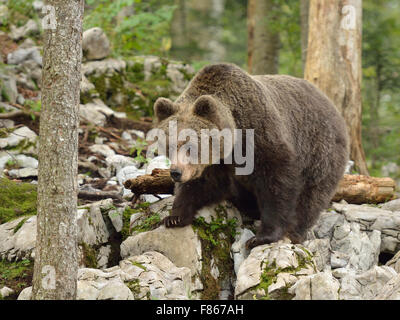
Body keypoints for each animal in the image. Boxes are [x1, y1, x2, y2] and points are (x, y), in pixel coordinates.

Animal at [152, 62, 348, 248]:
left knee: (311, 196)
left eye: (190, 146)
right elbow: (201, 185)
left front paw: (262, 237)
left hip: (319, 149)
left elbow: (277, 183)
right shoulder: (216, 163)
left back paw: (294, 231)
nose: (176, 173)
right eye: (169, 146)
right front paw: (174, 217)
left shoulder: (261, 138)